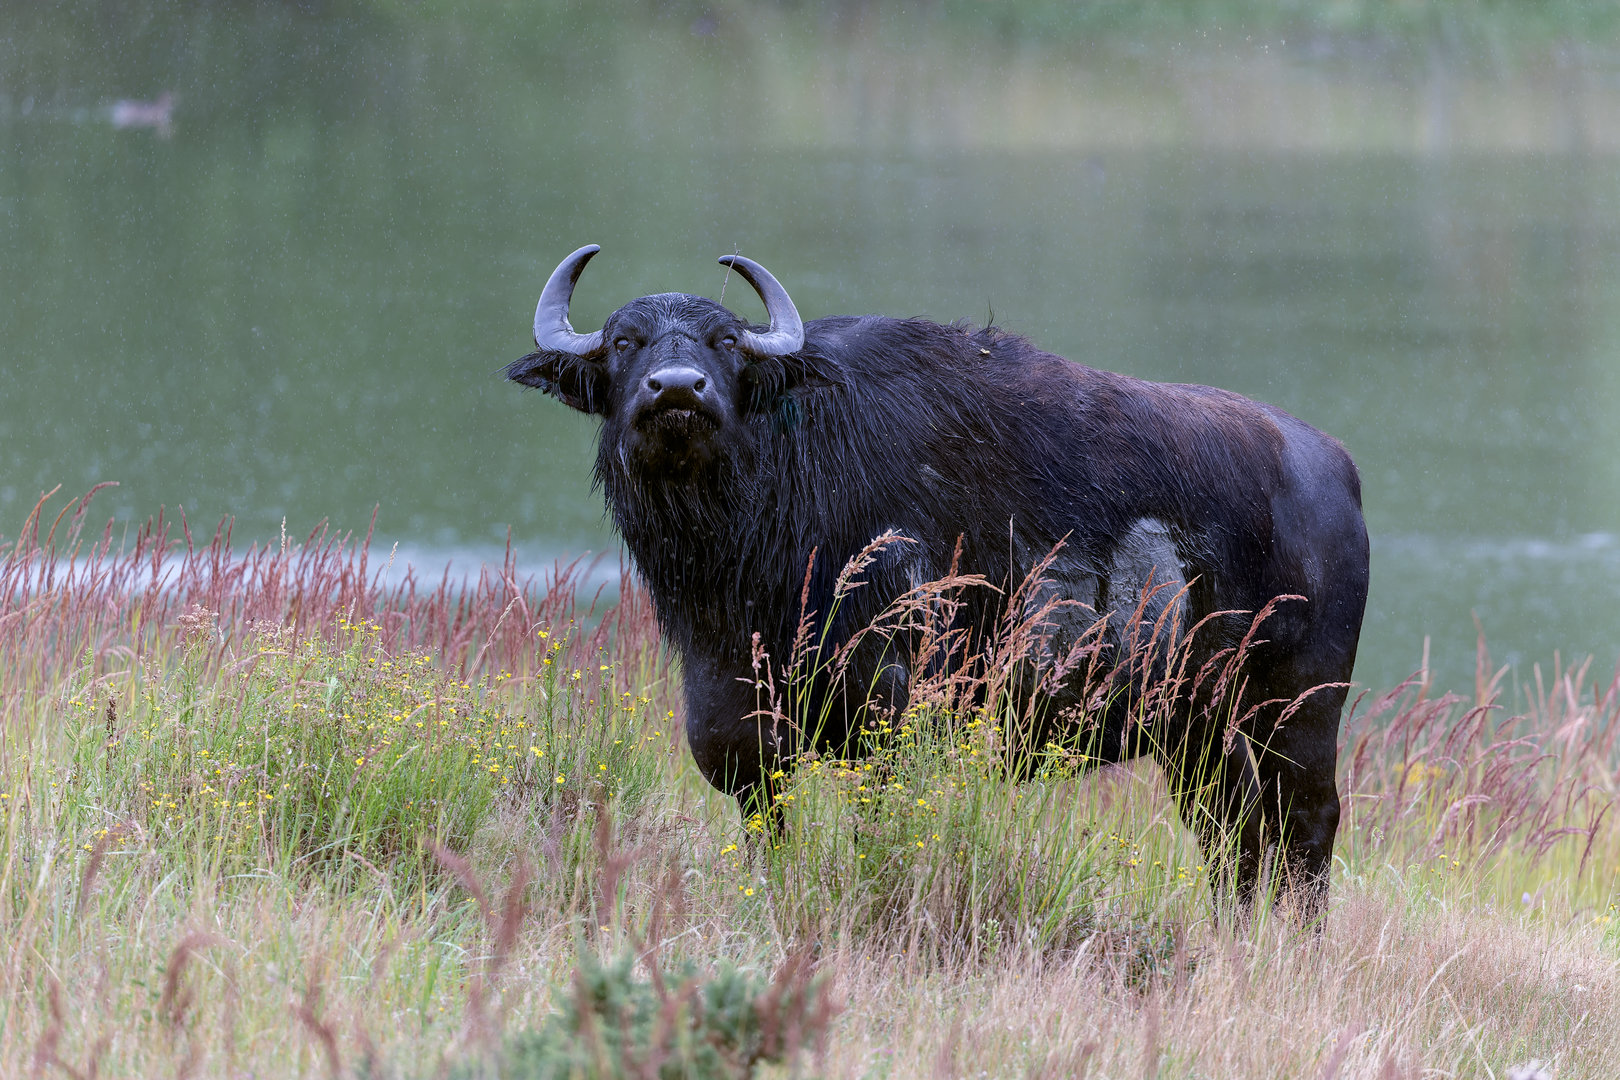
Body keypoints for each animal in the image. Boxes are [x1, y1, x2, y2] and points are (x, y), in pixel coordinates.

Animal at [507, 244, 1369, 915]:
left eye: (724, 340)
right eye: (624, 341)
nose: (679, 390)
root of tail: (1332, 467)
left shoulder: (892, 714)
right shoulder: (737, 723)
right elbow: (766, 829)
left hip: (1300, 710)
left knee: (1306, 825)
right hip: (1196, 728)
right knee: (1234, 832)